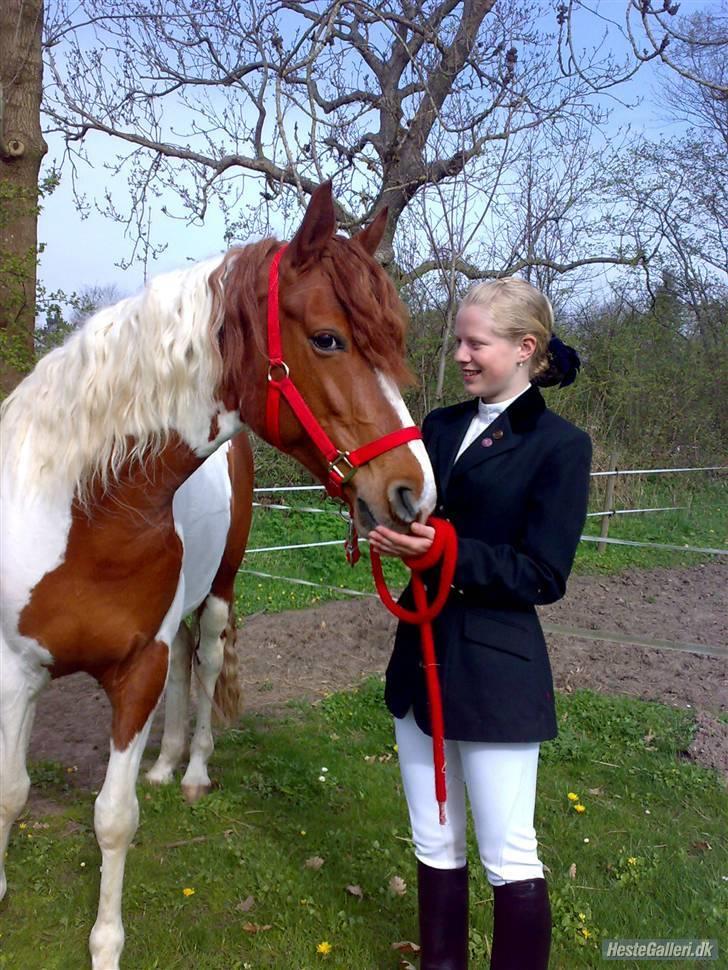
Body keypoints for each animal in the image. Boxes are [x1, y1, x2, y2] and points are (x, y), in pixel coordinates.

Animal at [0, 183, 436, 968]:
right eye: (328, 338)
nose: (415, 492)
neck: (82, 508)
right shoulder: (16, 665)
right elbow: (10, 790)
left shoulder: (135, 670)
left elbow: (114, 818)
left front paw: (105, 945)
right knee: (185, 667)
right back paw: (167, 762)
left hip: (219, 596)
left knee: (200, 665)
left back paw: (193, 769)